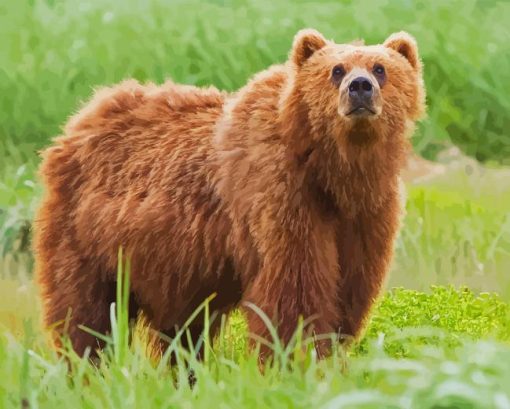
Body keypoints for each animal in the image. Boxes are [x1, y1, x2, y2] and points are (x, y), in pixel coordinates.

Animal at [33, 27, 426, 356]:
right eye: (337, 70)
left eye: (380, 68)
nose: (360, 87)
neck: (334, 171)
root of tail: (81, 118)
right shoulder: (281, 196)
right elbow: (295, 293)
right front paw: (297, 358)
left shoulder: (366, 214)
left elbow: (349, 290)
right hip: (86, 236)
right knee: (85, 314)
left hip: (173, 266)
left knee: (182, 332)